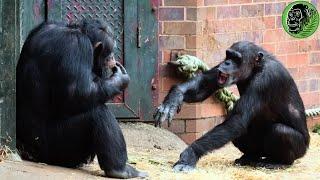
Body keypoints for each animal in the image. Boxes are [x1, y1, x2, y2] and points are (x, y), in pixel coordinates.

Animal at [16, 20, 147, 179]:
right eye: (109, 51)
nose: (113, 58)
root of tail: (26, 150)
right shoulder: (77, 45)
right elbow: (79, 93)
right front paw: (120, 79)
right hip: (57, 148)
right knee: (98, 112)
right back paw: (121, 169)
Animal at [155, 40, 310, 172]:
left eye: (236, 58)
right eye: (228, 55)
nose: (227, 63)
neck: (255, 68)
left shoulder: (265, 80)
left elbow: (237, 120)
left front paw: (190, 154)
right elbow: (204, 84)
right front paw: (173, 99)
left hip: (300, 150)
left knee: (280, 131)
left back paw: (279, 163)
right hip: (259, 150)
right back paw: (248, 158)